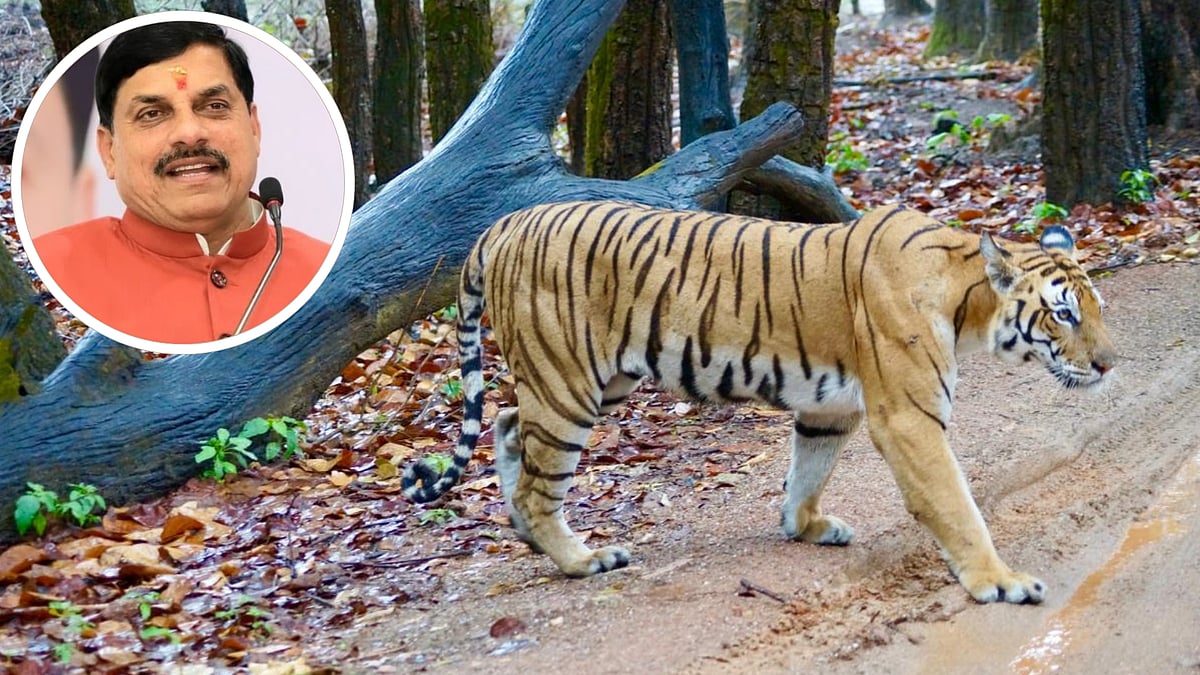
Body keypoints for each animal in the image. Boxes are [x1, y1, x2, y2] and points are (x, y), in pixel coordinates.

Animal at [401, 200, 1116, 604]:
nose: (1109, 364)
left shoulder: (834, 406)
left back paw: (530, 536)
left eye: (1095, 309)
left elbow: (808, 469)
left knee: (506, 422)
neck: (968, 301)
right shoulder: (909, 418)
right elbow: (956, 506)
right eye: (1063, 314)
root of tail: (501, 223)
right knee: (535, 476)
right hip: (569, 380)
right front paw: (999, 581)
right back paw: (580, 558)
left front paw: (805, 527)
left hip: (592, 380)